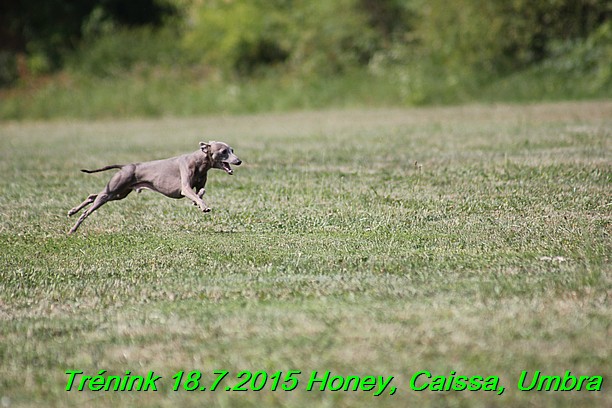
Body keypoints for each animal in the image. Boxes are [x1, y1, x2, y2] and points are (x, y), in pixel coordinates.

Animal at [66, 142, 239, 234]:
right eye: (223, 151)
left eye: (232, 150)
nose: (239, 161)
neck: (199, 161)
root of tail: (125, 166)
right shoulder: (185, 188)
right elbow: (193, 193)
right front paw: (203, 206)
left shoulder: (197, 185)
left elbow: (200, 192)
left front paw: (198, 202)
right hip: (112, 191)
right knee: (88, 210)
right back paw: (73, 227)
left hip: (119, 193)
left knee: (92, 195)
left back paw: (72, 211)